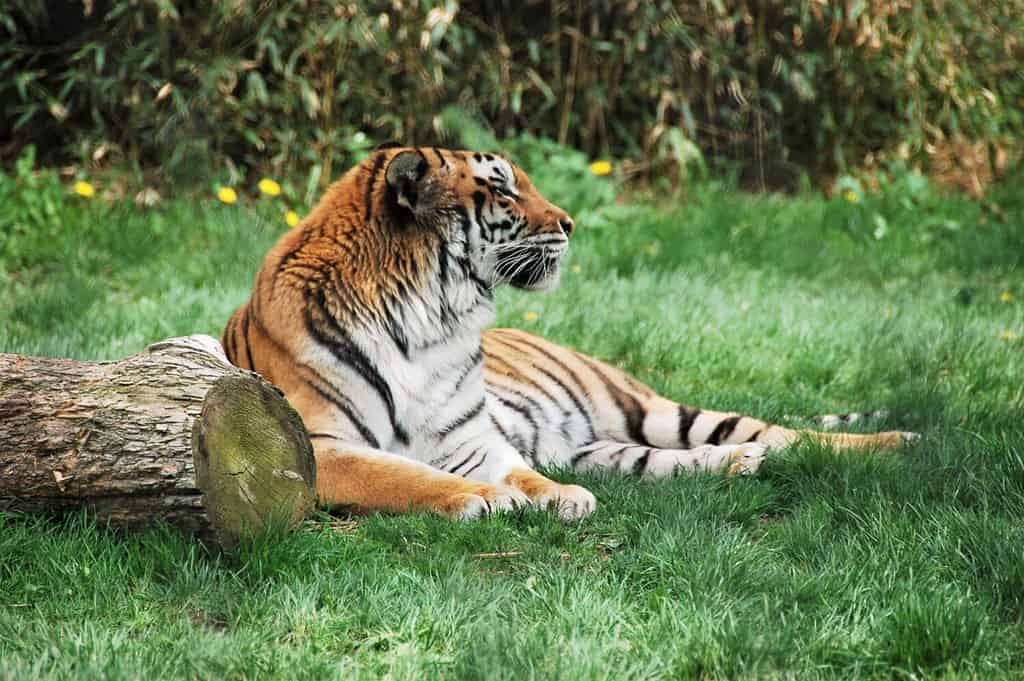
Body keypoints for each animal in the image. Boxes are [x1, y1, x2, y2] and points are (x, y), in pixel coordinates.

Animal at [222, 147, 913, 520]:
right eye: (503, 189)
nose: (571, 223)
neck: (431, 319)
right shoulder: (321, 446)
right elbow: (400, 475)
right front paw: (486, 499)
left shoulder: (472, 437)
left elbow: (519, 471)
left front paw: (557, 498)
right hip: (605, 446)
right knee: (675, 459)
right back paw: (737, 464)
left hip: (651, 409)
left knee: (787, 434)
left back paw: (897, 442)